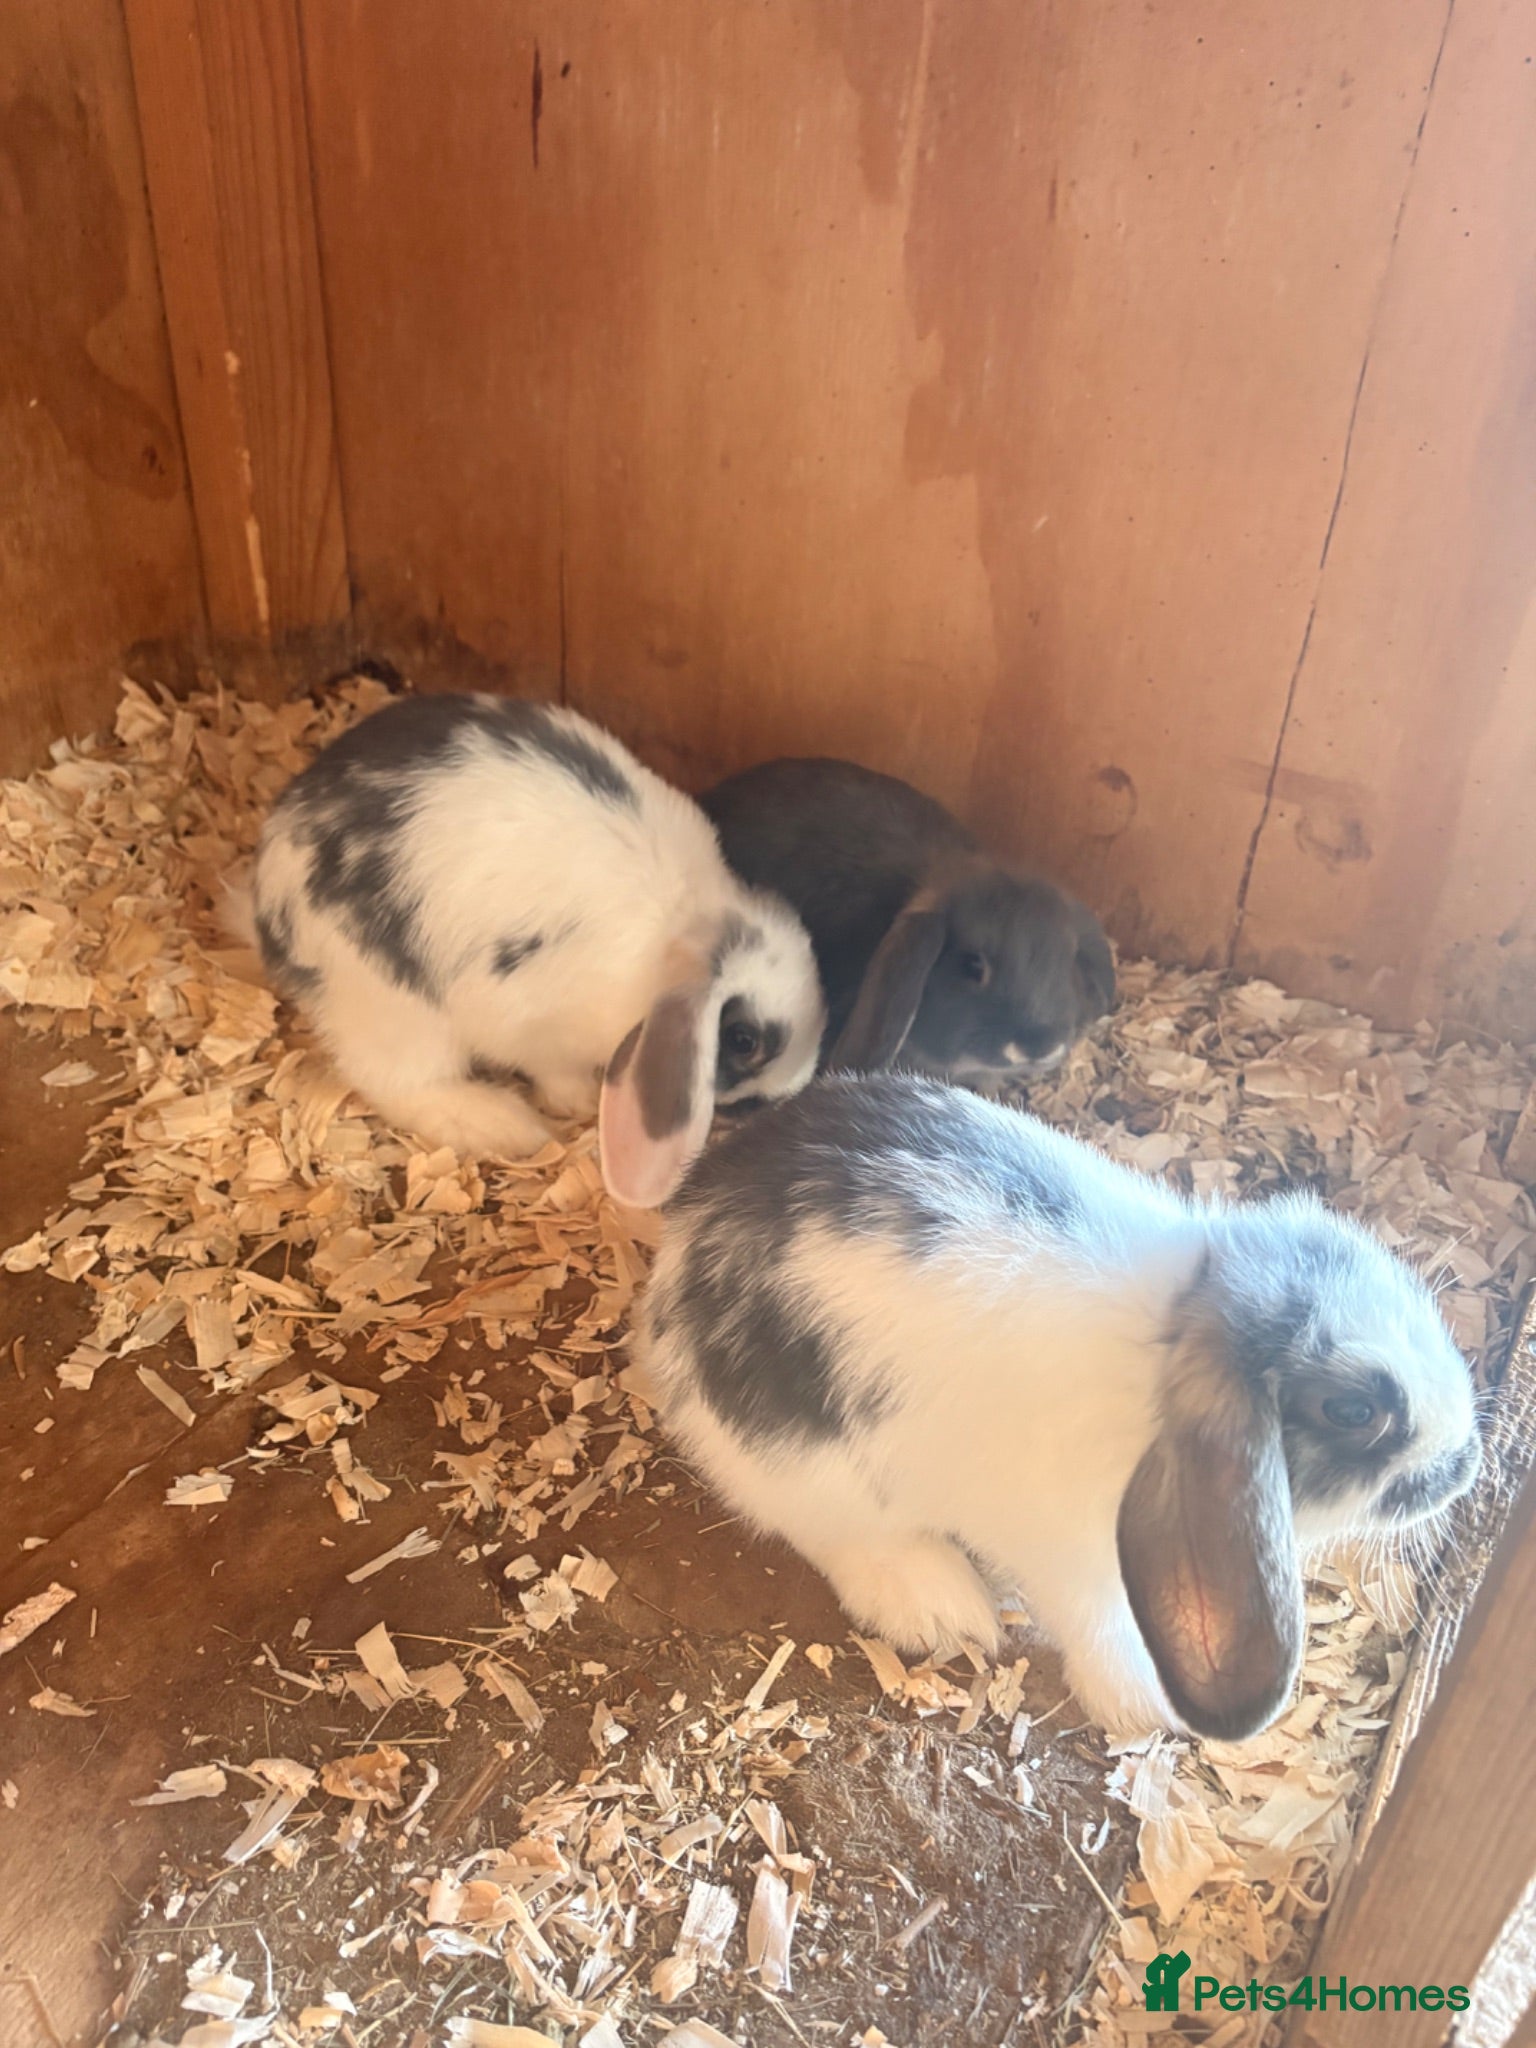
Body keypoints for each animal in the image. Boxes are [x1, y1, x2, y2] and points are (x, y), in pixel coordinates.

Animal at [248, 692, 825, 1207]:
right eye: (743, 1039)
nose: (771, 1101)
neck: (679, 938)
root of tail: (267, 902)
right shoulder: (537, 1030)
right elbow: (554, 1072)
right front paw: (575, 1101)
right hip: (392, 1008)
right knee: (396, 1080)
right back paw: (503, 1124)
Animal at [638, 1072, 1482, 1740]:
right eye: (1353, 1411)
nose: (1466, 1466)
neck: (1168, 1335)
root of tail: (675, 1256)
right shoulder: (1077, 1562)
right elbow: (1102, 1629)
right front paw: (1147, 1708)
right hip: (806, 1471)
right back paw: (939, 1603)